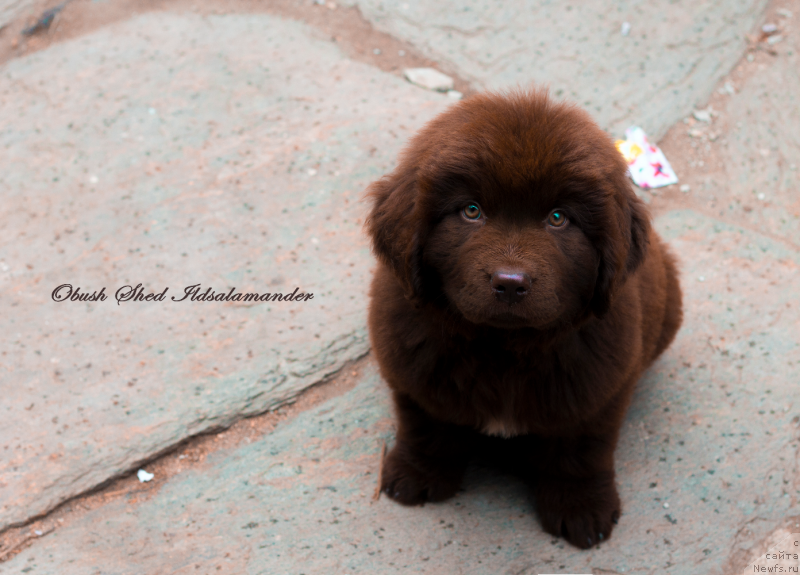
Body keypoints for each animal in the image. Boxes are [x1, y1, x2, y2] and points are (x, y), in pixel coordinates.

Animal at [362, 89, 680, 548]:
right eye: (471, 210)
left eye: (558, 218)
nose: (510, 283)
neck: (502, 349)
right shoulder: (413, 373)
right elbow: (426, 427)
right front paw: (417, 474)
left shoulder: (597, 391)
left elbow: (579, 451)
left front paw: (580, 508)